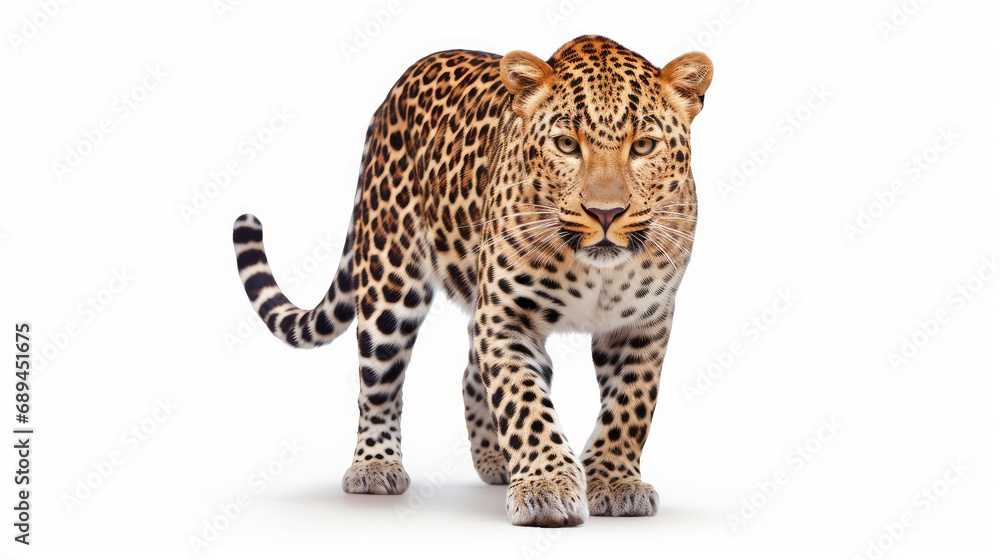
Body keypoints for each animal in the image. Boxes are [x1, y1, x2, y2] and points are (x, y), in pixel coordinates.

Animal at [232, 35, 712, 527]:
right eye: (566, 144)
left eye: (644, 146)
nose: (605, 213)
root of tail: (395, 90)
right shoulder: (506, 318)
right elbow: (524, 402)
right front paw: (546, 488)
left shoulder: (641, 325)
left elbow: (630, 407)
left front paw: (614, 483)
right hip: (390, 280)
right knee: (379, 382)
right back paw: (374, 466)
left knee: (468, 373)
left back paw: (496, 460)